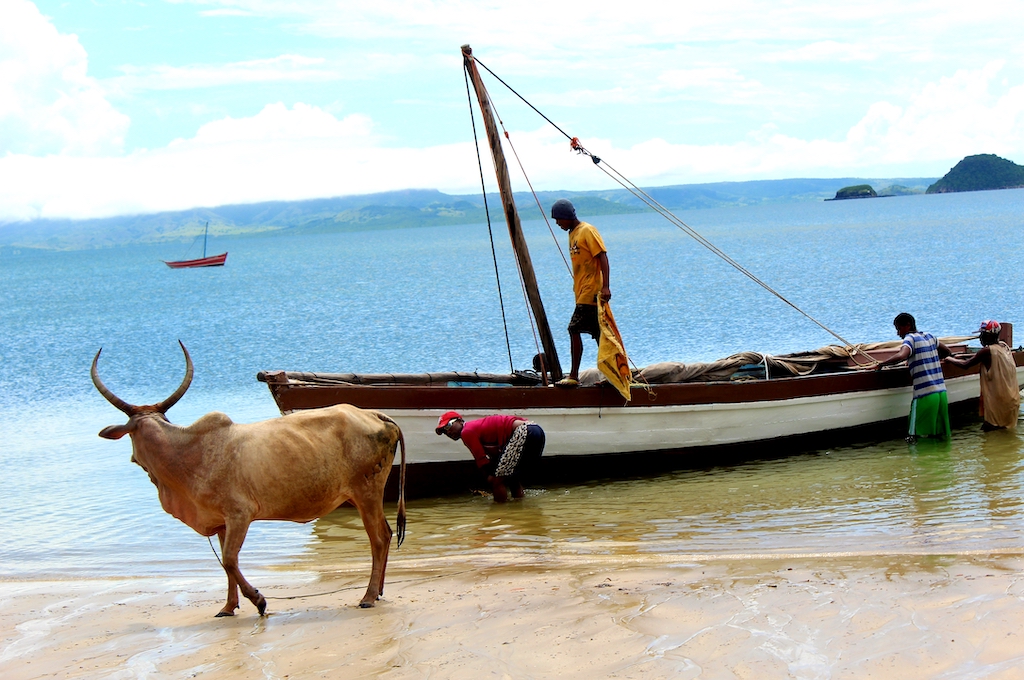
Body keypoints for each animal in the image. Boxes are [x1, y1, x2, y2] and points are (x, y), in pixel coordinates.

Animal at [91, 342, 403, 618]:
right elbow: (226, 564)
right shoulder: (221, 522)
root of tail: (376, 415)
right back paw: (378, 592)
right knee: (387, 534)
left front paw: (260, 601)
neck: (187, 453)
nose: (135, 460)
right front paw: (228, 607)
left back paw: (367, 596)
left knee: (378, 539)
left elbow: (230, 559)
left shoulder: (239, 514)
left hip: (366, 491)